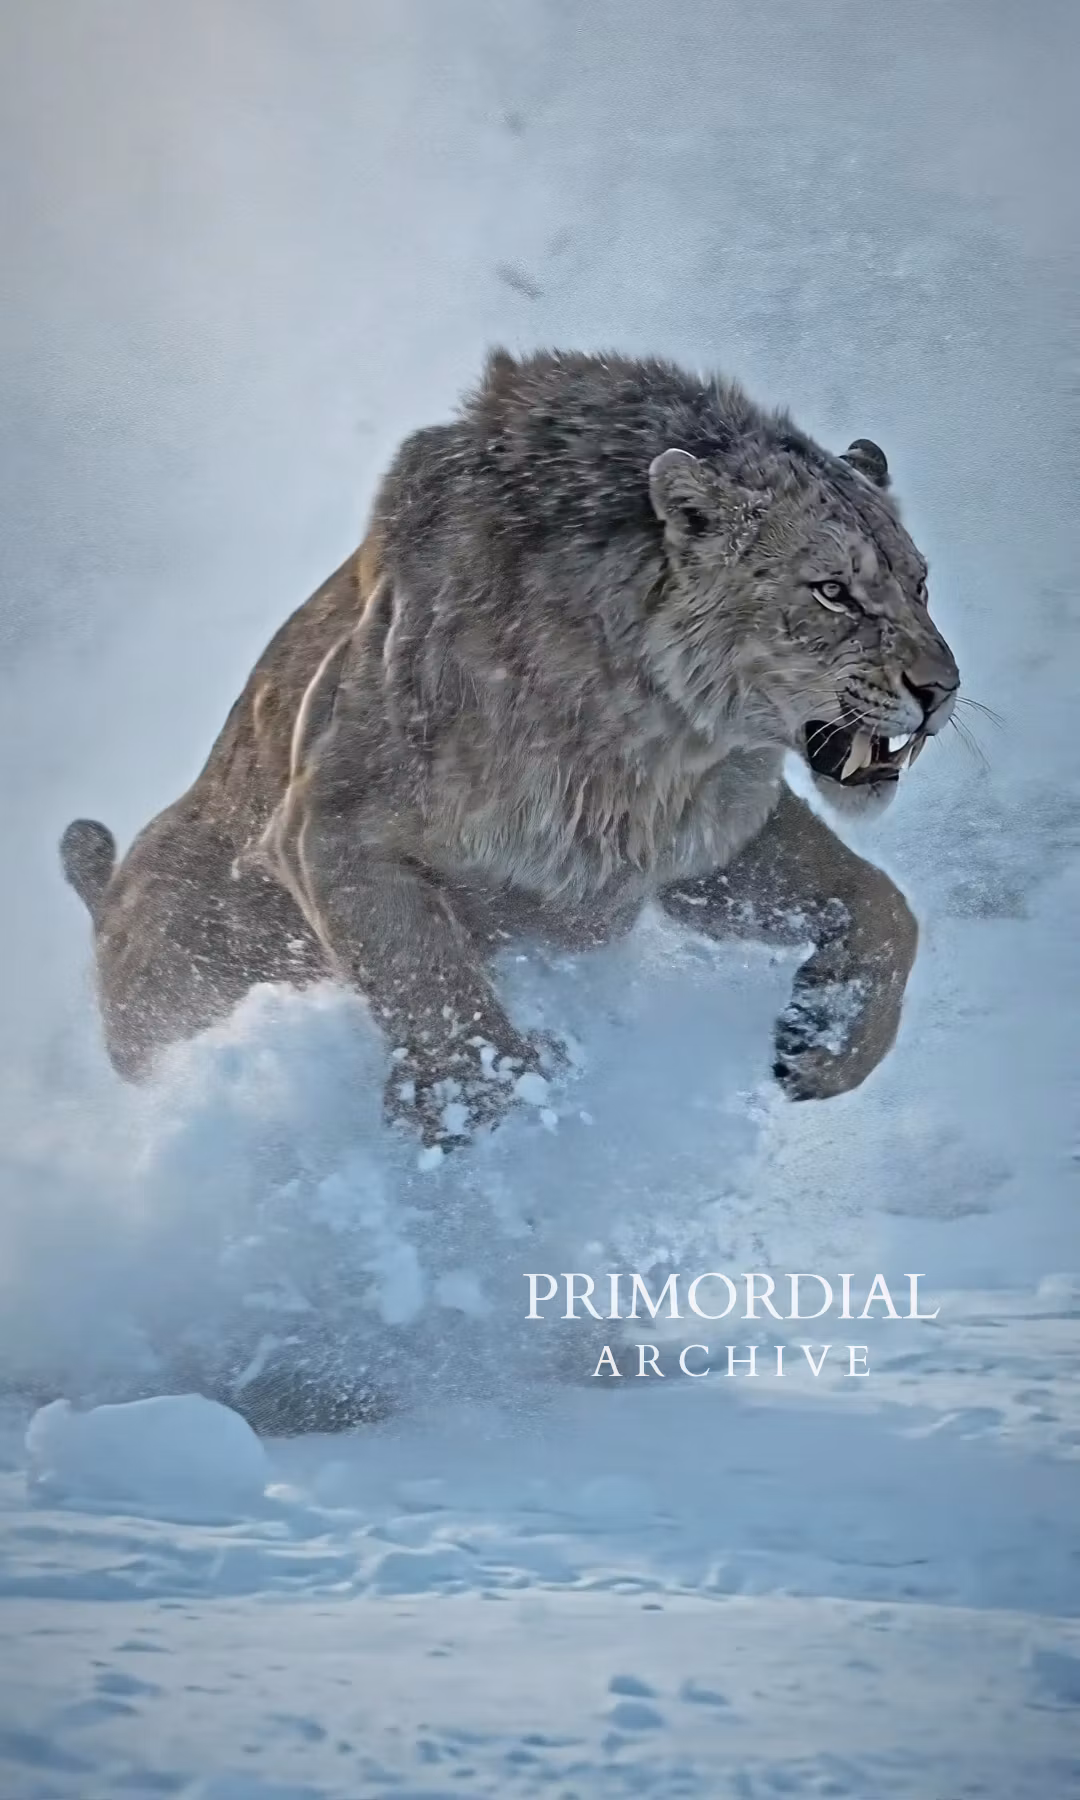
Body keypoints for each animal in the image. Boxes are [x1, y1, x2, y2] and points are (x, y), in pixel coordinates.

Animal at [62, 348, 959, 1145]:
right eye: (834, 592)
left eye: (919, 583)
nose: (942, 690)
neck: (658, 731)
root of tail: (110, 901)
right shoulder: (327, 830)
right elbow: (433, 984)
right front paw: (496, 1109)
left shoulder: (702, 847)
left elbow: (886, 904)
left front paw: (826, 1039)